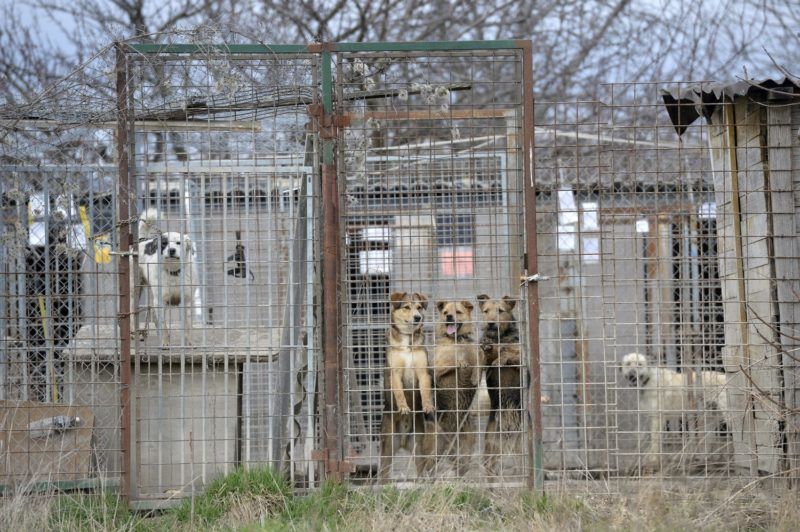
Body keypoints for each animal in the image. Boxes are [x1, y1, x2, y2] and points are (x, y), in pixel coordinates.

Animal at [380, 290, 434, 478]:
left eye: (419, 307)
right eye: (406, 307)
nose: (418, 317)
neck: (407, 342)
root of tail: (403, 442)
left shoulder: (423, 371)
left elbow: (425, 390)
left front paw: (427, 405)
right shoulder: (395, 373)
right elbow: (398, 392)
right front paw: (403, 407)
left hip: (419, 451)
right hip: (386, 452)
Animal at [478, 296, 528, 474]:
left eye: (500, 310)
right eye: (486, 311)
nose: (490, 323)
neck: (499, 338)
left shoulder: (521, 359)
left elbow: (509, 351)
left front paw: (500, 356)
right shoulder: (484, 365)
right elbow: (485, 355)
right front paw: (488, 346)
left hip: (523, 445)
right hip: (490, 445)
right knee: (489, 468)